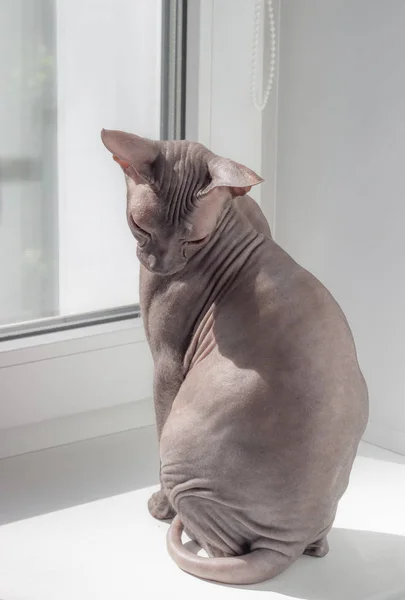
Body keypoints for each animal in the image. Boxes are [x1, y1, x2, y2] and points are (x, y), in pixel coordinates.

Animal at [100, 129, 366, 584]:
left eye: (193, 240)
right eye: (140, 227)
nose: (161, 264)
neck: (236, 219)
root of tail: (287, 543)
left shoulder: (168, 362)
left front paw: (158, 507)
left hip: (184, 456)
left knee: (222, 547)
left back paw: (180, 523)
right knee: (317, 544)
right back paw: (316, 544)